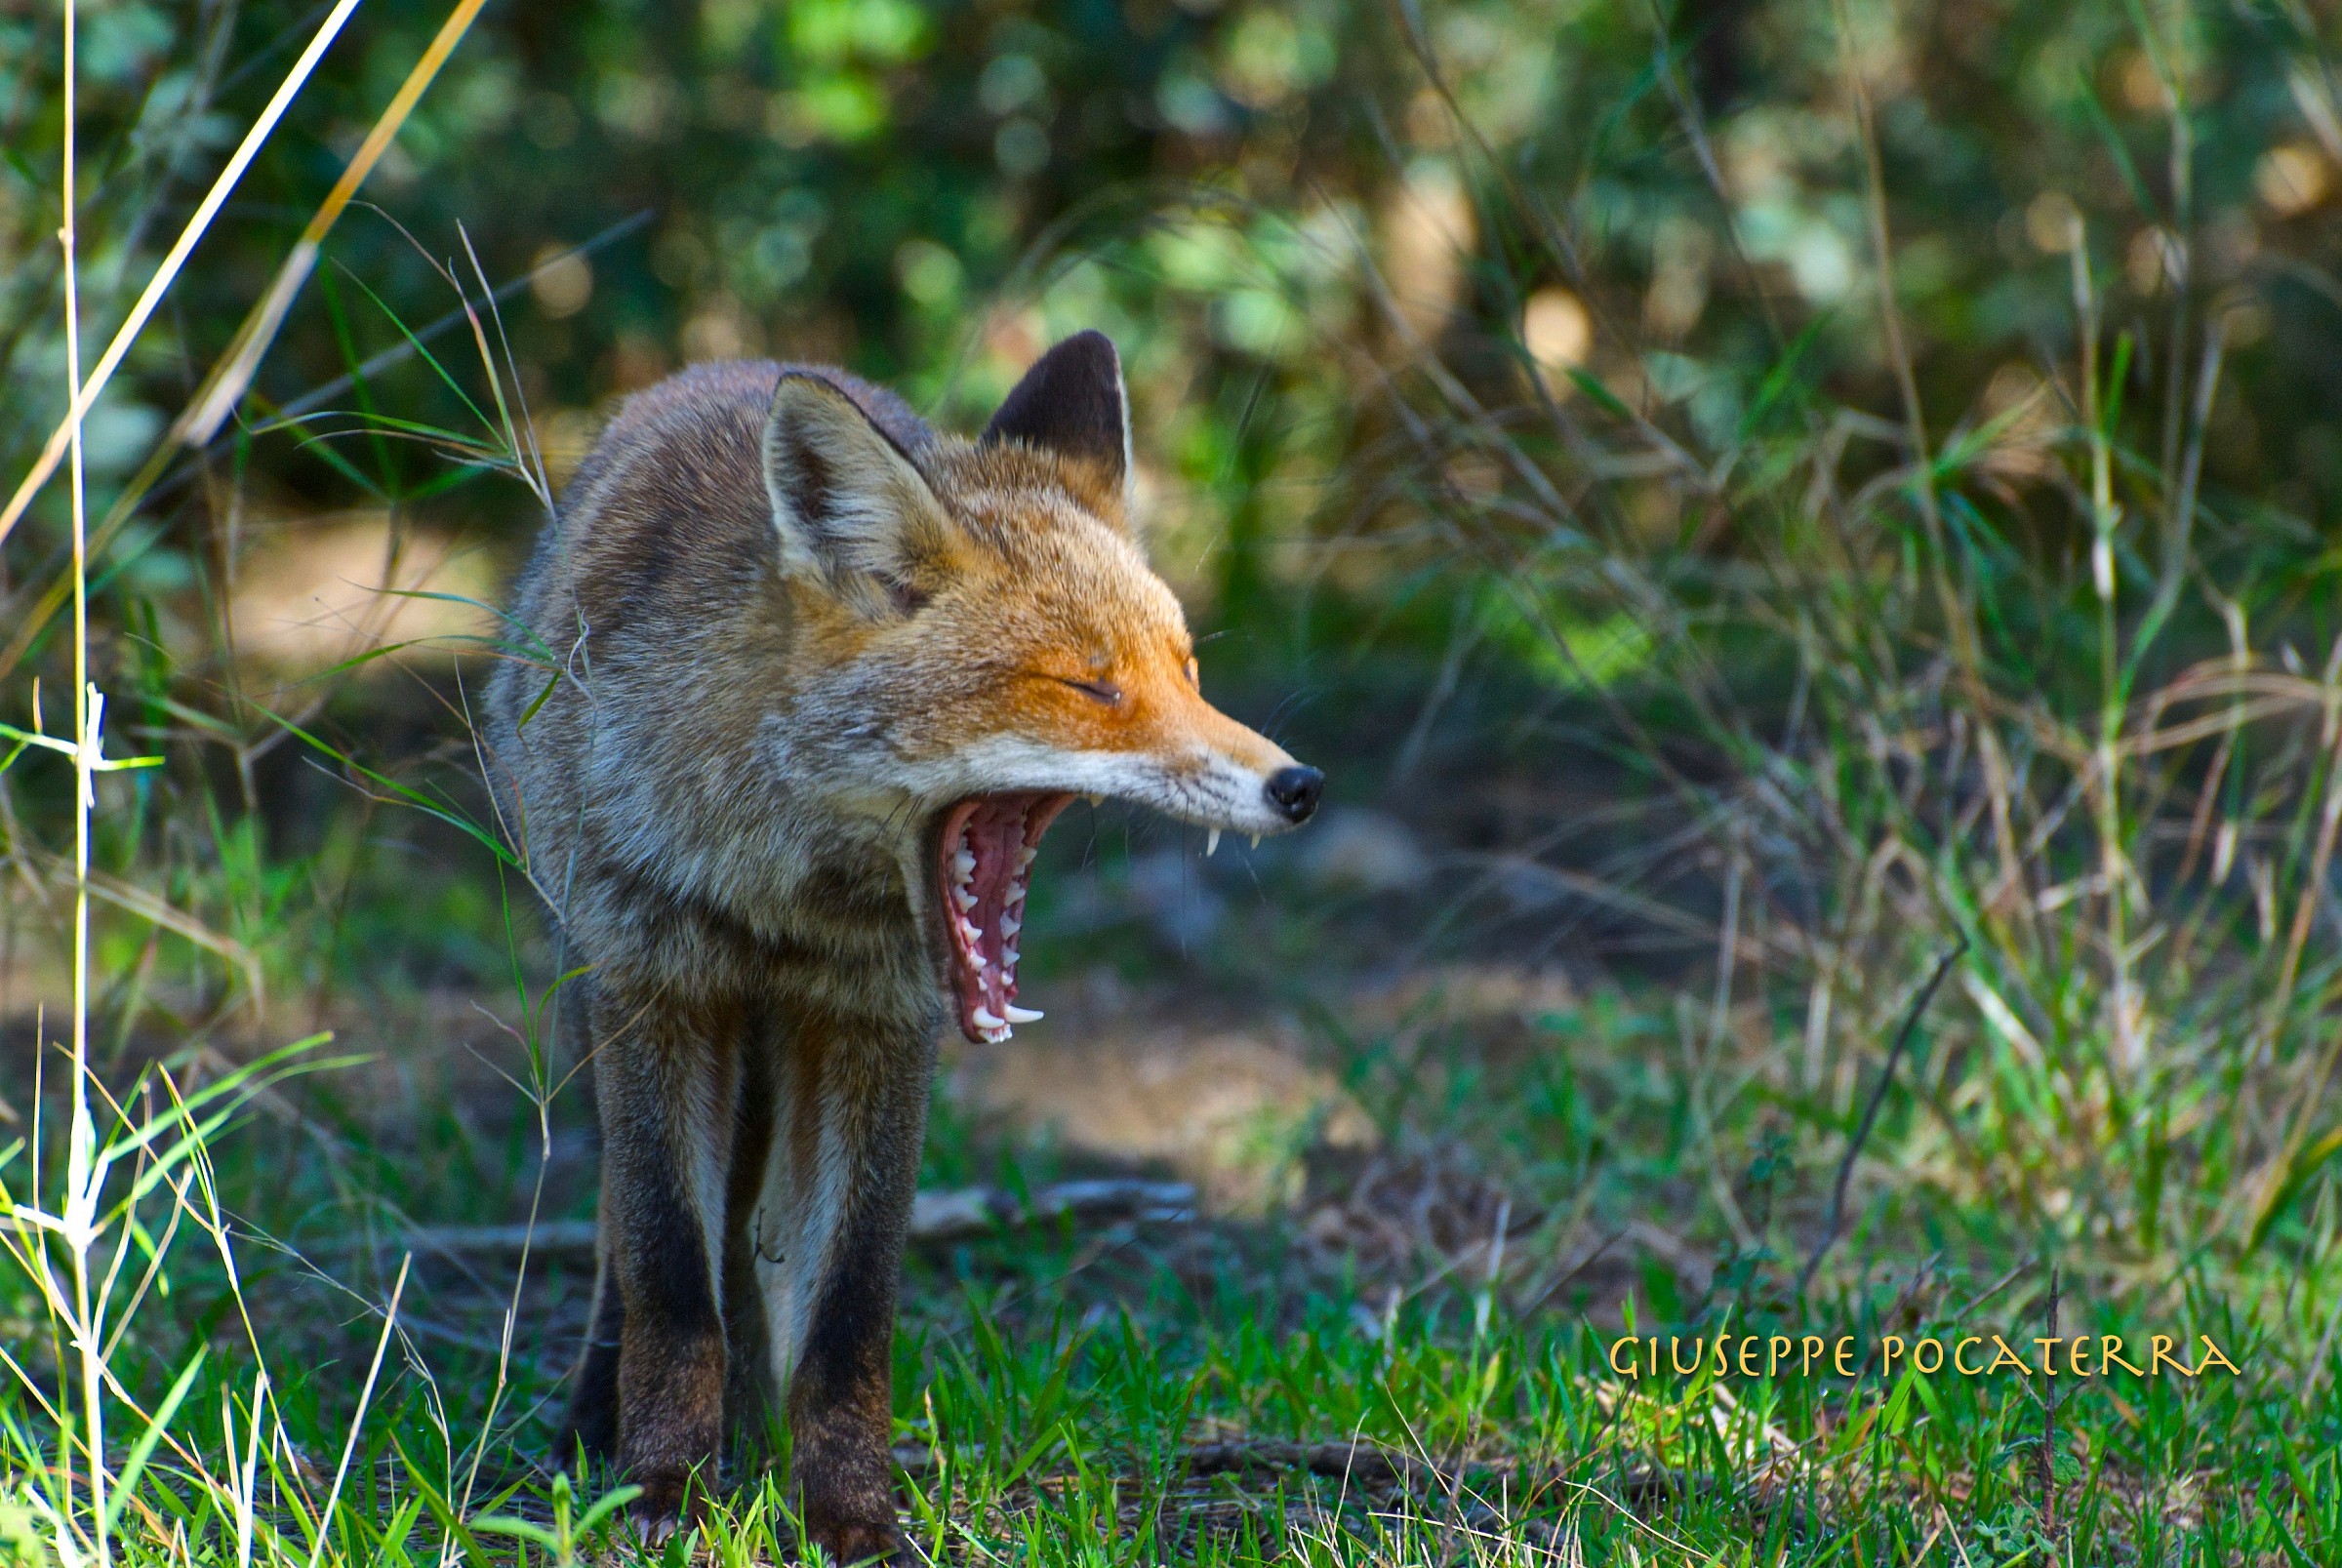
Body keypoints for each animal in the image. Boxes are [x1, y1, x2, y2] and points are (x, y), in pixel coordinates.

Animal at [482, 331, 1321, 1561]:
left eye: (1187, 670)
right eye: (1088, 683)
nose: (1300, 786)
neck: (780, 897)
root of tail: (740, 359)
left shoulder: (879, 1021)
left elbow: (848, 1312)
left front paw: (848, 1517)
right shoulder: (652, 982)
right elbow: (668, 1273)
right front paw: (663, 1490)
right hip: (596, 990)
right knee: (627, 1246)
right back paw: (606, 1417)